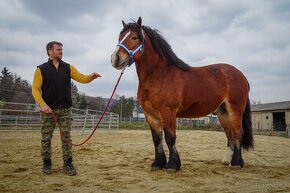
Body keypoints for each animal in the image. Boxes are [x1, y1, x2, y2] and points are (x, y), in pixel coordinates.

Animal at [111, 16, 254, 170]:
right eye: (120, 36)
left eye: (134, 37)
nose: (115, 58)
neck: (159, 75)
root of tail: (242, 76)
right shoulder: (150, 115)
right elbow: (157, 139)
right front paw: (157, 163)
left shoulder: (167, 112)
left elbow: (170, 138)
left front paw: (172, 165)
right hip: (223, 113)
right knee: (230, 134)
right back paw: (227, 160)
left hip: (235, 110)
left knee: (238, 132)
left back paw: (236, 163)